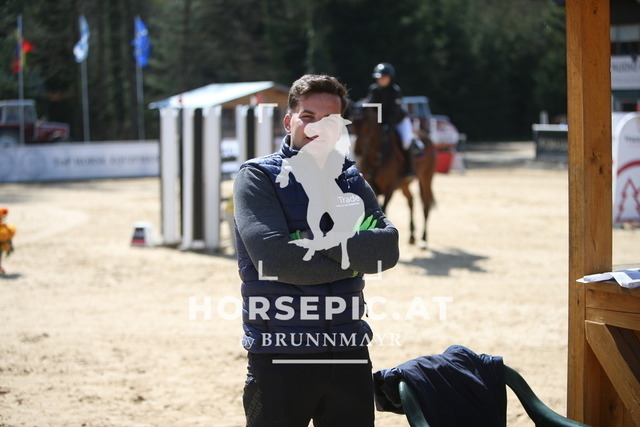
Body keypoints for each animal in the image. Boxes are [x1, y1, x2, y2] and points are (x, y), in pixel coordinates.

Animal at [348, 102, 437, 248]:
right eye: (352, 123)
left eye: (368, 124)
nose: (358, 150)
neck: (377, 156)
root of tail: (424, 134)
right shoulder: (373, 188)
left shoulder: (390, 188)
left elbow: (384, 209)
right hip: (405, 185)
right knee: (411, 201)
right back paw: (412, 236)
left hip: (426, 178)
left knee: (425, 204)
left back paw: (423, 239)